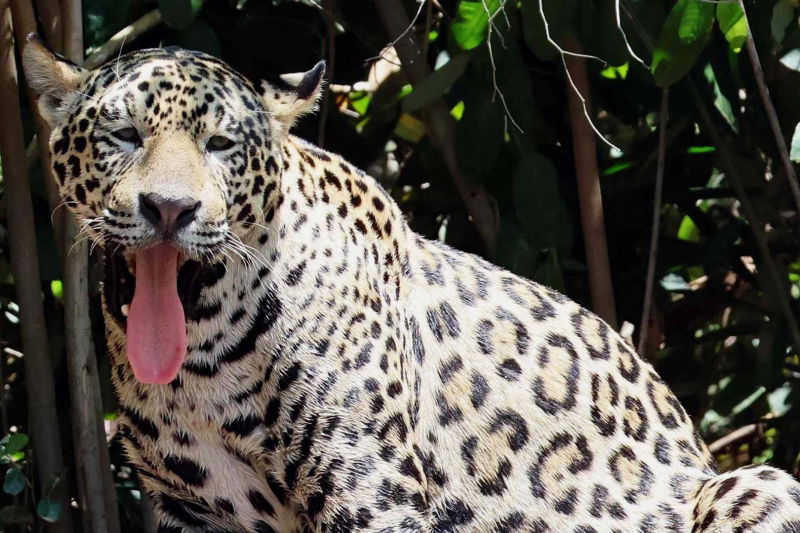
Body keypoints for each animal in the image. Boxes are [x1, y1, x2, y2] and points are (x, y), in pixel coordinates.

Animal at [22, 34, 800, 532]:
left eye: (219, 145)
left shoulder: (369, 491)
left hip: (757, 480)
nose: (169, 209)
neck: (201, 365)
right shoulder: (191, 510)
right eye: (124, 136)